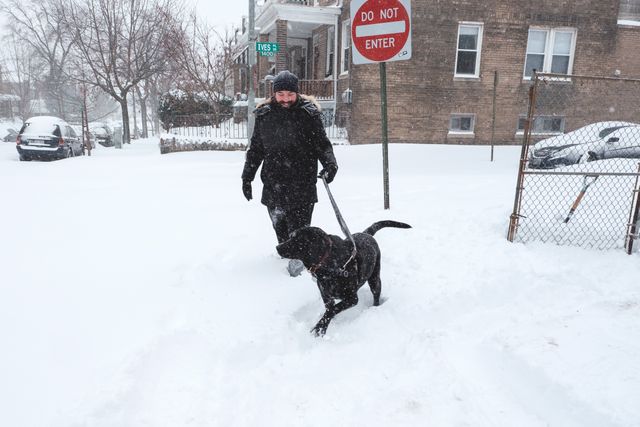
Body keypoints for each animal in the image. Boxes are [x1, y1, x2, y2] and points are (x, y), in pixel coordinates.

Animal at [278, 221, 412, 338]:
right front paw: (325, 324)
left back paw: (375, 308)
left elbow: (333, 310)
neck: (329, 263)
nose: (277, 247)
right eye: (291, 236)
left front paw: (320, 327)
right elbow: (330, 309)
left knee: (376, 295)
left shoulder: (352, 298)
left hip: (375, 279)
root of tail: (367, 233)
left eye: (297, 240)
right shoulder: (326, 295)